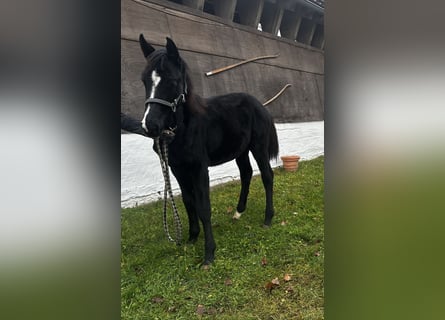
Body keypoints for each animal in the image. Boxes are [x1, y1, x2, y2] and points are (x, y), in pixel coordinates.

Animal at [139, 35, 278, 264]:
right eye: (144, 80)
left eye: (173, 80)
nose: (150, 125)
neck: (184, 128)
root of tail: (260, 104)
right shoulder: (177, 169)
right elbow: (188, 201)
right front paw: (191, 238)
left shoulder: (199, 167)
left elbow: (203, 206)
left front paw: (209, 254)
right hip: (240, 151)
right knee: (246, 173)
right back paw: (238, 212)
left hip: (258, 147)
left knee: (267, 175)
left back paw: (268, 218)